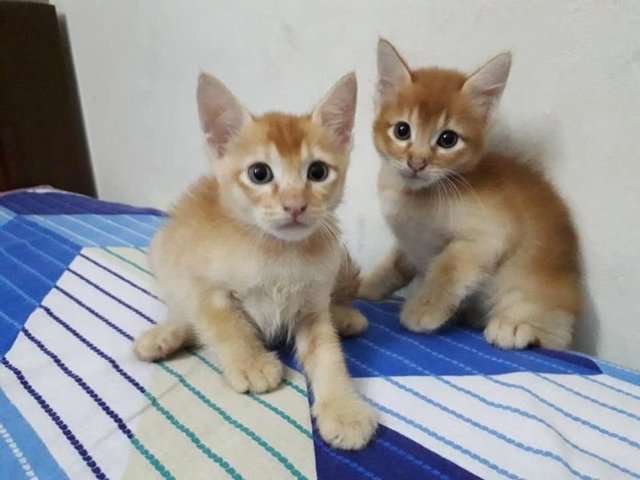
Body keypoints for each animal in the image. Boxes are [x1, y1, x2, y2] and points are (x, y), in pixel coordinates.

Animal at [133, 72, 378, 450]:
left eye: (318, 172)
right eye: (259, 174)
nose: (295, 205)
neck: (279, 251)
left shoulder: (312, 305)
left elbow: (329, 355)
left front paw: (343, 410)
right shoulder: (200, 282)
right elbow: (224, 322)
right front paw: (251, 364)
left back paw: (344, 316)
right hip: (163, 255)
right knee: (186, 313)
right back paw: (164, 336)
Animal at [358, 40, 584, 348]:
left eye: (447, 139)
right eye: (402, 130)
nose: (417, 163)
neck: (414, 194)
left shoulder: (488, 236)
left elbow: (446, 268)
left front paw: (423, 311)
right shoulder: (409, 243)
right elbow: (393, 264)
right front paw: (366, 286)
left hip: (530, 285)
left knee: (553, 334)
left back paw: (515, 326)